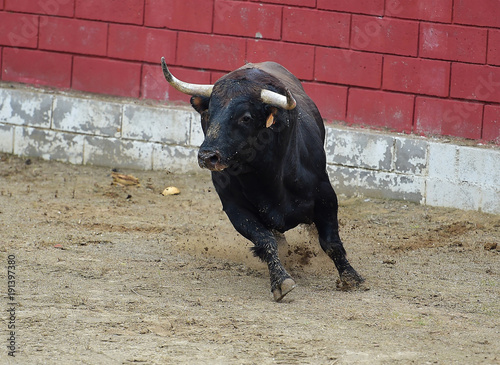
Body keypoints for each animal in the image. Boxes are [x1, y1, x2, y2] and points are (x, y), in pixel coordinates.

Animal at [162, 58, 362, 300]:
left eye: (246, 117)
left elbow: (331, 242)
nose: (207, 156)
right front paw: (281, 280)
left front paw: (351, 277)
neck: (265, 177)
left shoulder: (325, 194)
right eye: (208, 114)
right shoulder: (235, 208)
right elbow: (266, 240)